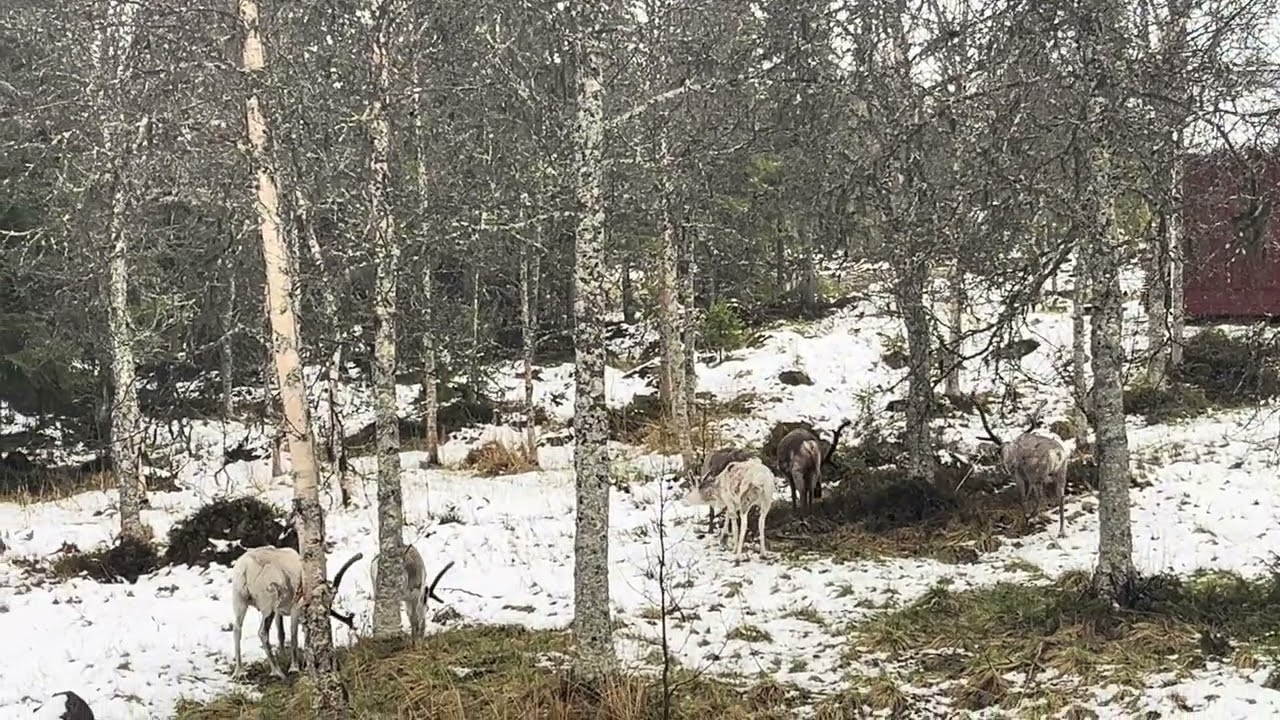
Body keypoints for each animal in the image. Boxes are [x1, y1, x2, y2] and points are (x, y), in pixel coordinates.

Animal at [972, 395, 1070, 537]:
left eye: (999, 452)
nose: (1006, 467)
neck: (1010, 450)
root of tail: (1057, 453)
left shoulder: (1019, 476)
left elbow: (1023, 497)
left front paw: (1025, 516)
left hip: (1037, 476)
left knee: (1041, 498)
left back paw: (1030, 517)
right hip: (1061, 473)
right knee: (1061, 497)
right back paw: (1061, 531)